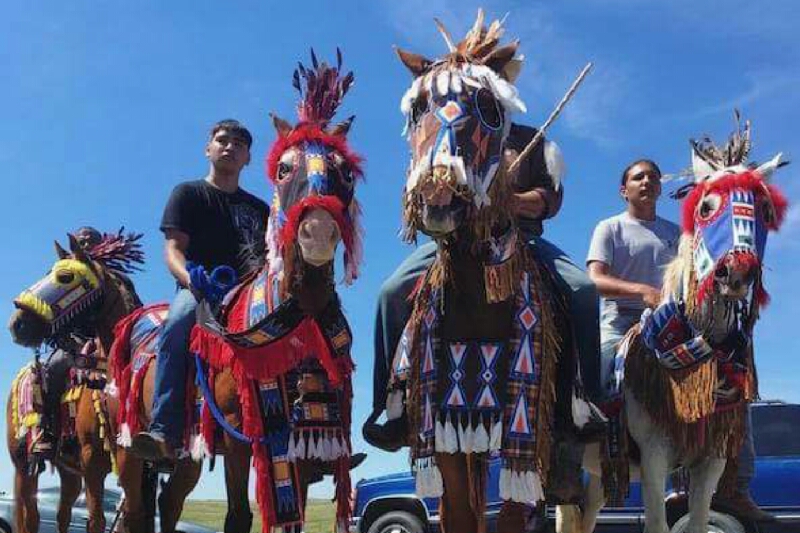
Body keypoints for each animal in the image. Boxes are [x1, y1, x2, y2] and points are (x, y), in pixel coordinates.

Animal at [7, 231, 144, 532]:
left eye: (66, 276)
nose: (16, 323)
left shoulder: (132, 464)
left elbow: (130, 518)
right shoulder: (92, 460)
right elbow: (96, 520)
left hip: (68, 470)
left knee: (62, 514)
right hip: (23, 463)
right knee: (30, 515)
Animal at [109, 50, 362, 532]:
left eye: (346, 173)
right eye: (284, 169)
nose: (318, 234)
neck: (293, 325)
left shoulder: (306, 446)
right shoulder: (246, 438)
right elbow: (240, 515)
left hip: (189, 454)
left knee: (169, 502)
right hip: (128, 447)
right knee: (134, 508)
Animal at [384, 11, 584, 532]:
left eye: (491, 108)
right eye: (416, 109)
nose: (438, 193)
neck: (477, 303)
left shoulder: (528, 432)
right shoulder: (443, 426)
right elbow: (457, 511)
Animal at [560, 115, 792, 532]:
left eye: (765, 209)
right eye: (706, 207)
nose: (735, 273)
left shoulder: (711, 460)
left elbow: (699, 521)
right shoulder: (654, 457)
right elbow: (656, 523)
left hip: (603, 470)